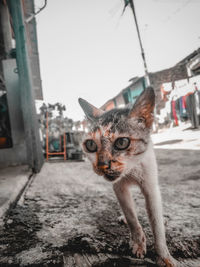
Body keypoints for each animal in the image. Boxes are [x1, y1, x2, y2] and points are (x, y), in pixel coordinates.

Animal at [77, 88, 177, 267]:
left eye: (122, 142)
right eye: (90, 145)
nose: (102, 165)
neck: (132, 170)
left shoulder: (150, 186)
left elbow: (156, 224)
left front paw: (164, 256)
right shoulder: (119, 188)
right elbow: (131, 217)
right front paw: (138, 242)